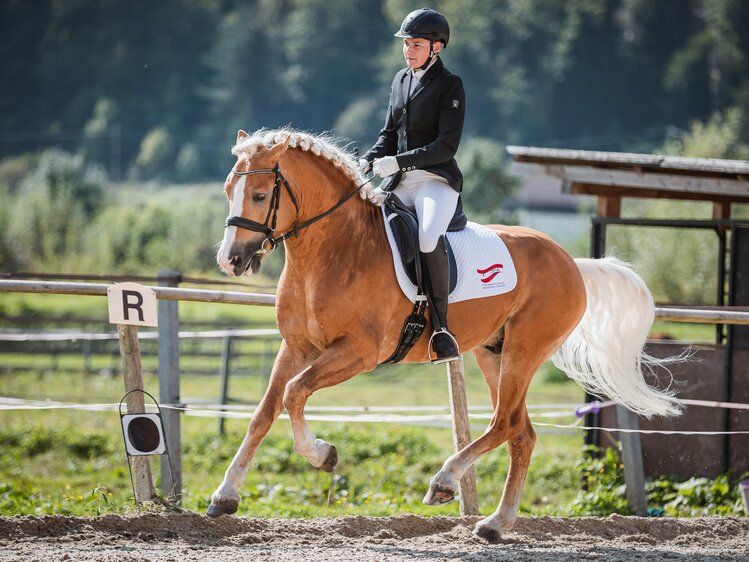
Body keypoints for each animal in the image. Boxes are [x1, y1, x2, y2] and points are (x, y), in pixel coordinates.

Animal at [209, 127, 676, 540]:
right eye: (229, 188)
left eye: (260, 195)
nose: (230, 261)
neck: (335, 249)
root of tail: (571, 263)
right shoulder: (296, 347)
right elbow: (265, 411)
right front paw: (225, 496)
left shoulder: (357, 353)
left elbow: (294, 393)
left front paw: (324, 455)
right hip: (494, 352)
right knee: (521, 433)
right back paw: (494, 524)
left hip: (524, 351)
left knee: (505, 422)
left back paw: (446, 482)